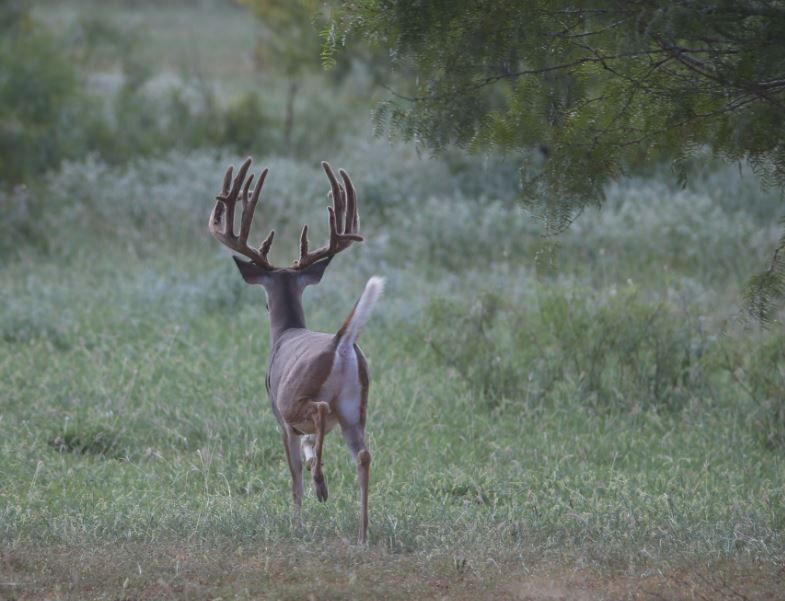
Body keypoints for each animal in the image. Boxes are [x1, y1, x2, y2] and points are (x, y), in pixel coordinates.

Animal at [208, 157, 382, 544]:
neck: (285, 333)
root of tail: (339, 343)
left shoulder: (279, 418)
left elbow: (294, 479)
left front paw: (297, 525)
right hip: (355, 407)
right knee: (363, 455)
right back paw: (363, 533)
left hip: (296, 399)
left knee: (319, 411)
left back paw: (322, 485)